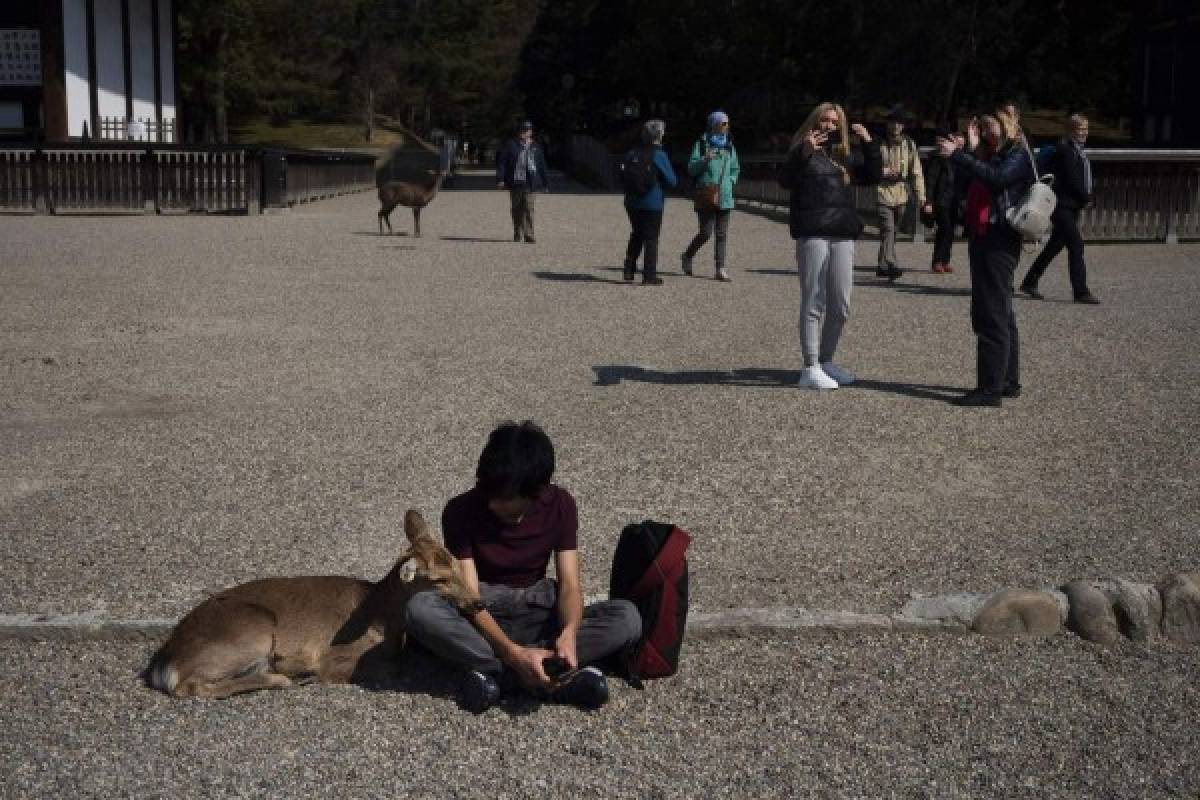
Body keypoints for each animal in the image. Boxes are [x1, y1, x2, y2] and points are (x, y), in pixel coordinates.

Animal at [142, 510, 475, 695]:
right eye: (439, 579)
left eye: (456, 562)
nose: (477, 604)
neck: (384, 620)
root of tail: (164, 662)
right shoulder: (335, 655)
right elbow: (382, 670)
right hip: (252, 630)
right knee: (189, 686)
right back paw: (283, 677)